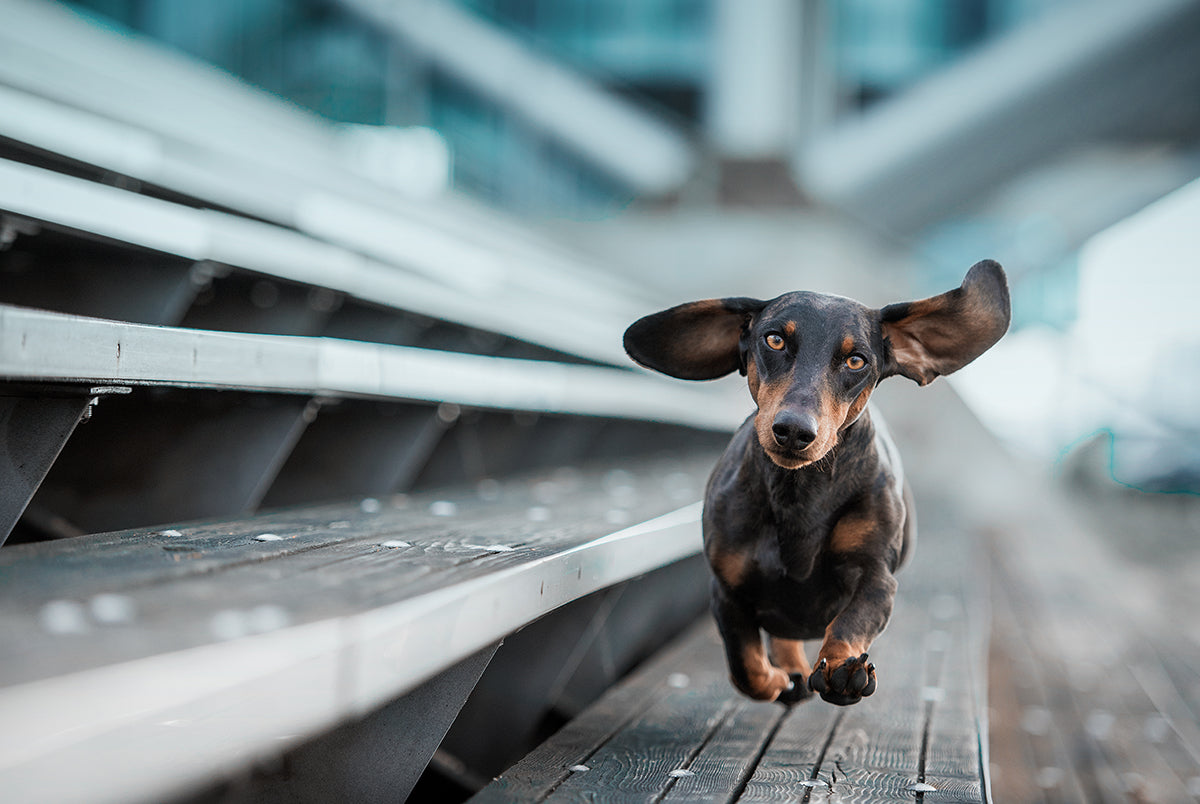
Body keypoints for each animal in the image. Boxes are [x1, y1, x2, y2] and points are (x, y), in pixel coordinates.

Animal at [624, 262, 1008, 705]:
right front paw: (775, 680)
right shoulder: (726, 589)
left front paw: (842, 669)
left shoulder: (878, 578)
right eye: (774, 339)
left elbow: (850, 622)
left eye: (856, 361)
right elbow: (745, 667)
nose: (793, 431)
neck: (800, 493)